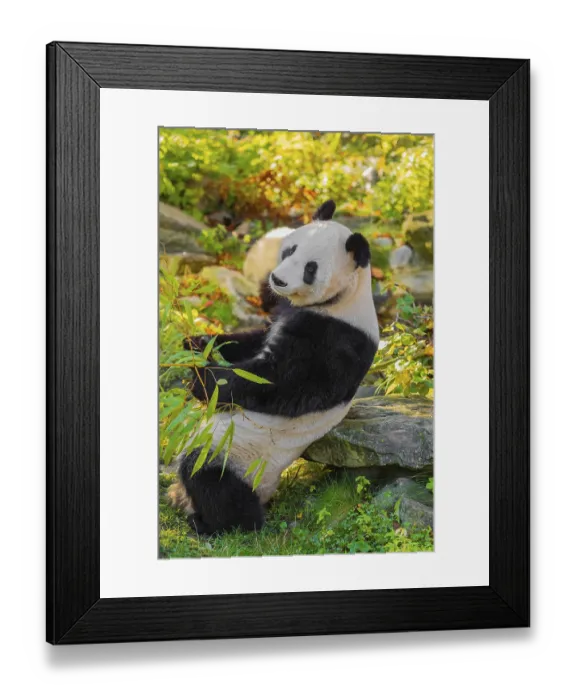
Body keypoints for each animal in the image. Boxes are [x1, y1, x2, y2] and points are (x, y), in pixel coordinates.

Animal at [168, 200, 379, 535]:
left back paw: (218, 522)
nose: (277, 280)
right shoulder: (286, 313)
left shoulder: (336, 339)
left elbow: (280, 383)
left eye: (310, 268)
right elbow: (251, 341)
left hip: (239, 453)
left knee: (211, 478)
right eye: (290, 249)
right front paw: (196, 343)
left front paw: (203, 381)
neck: (342, 300)